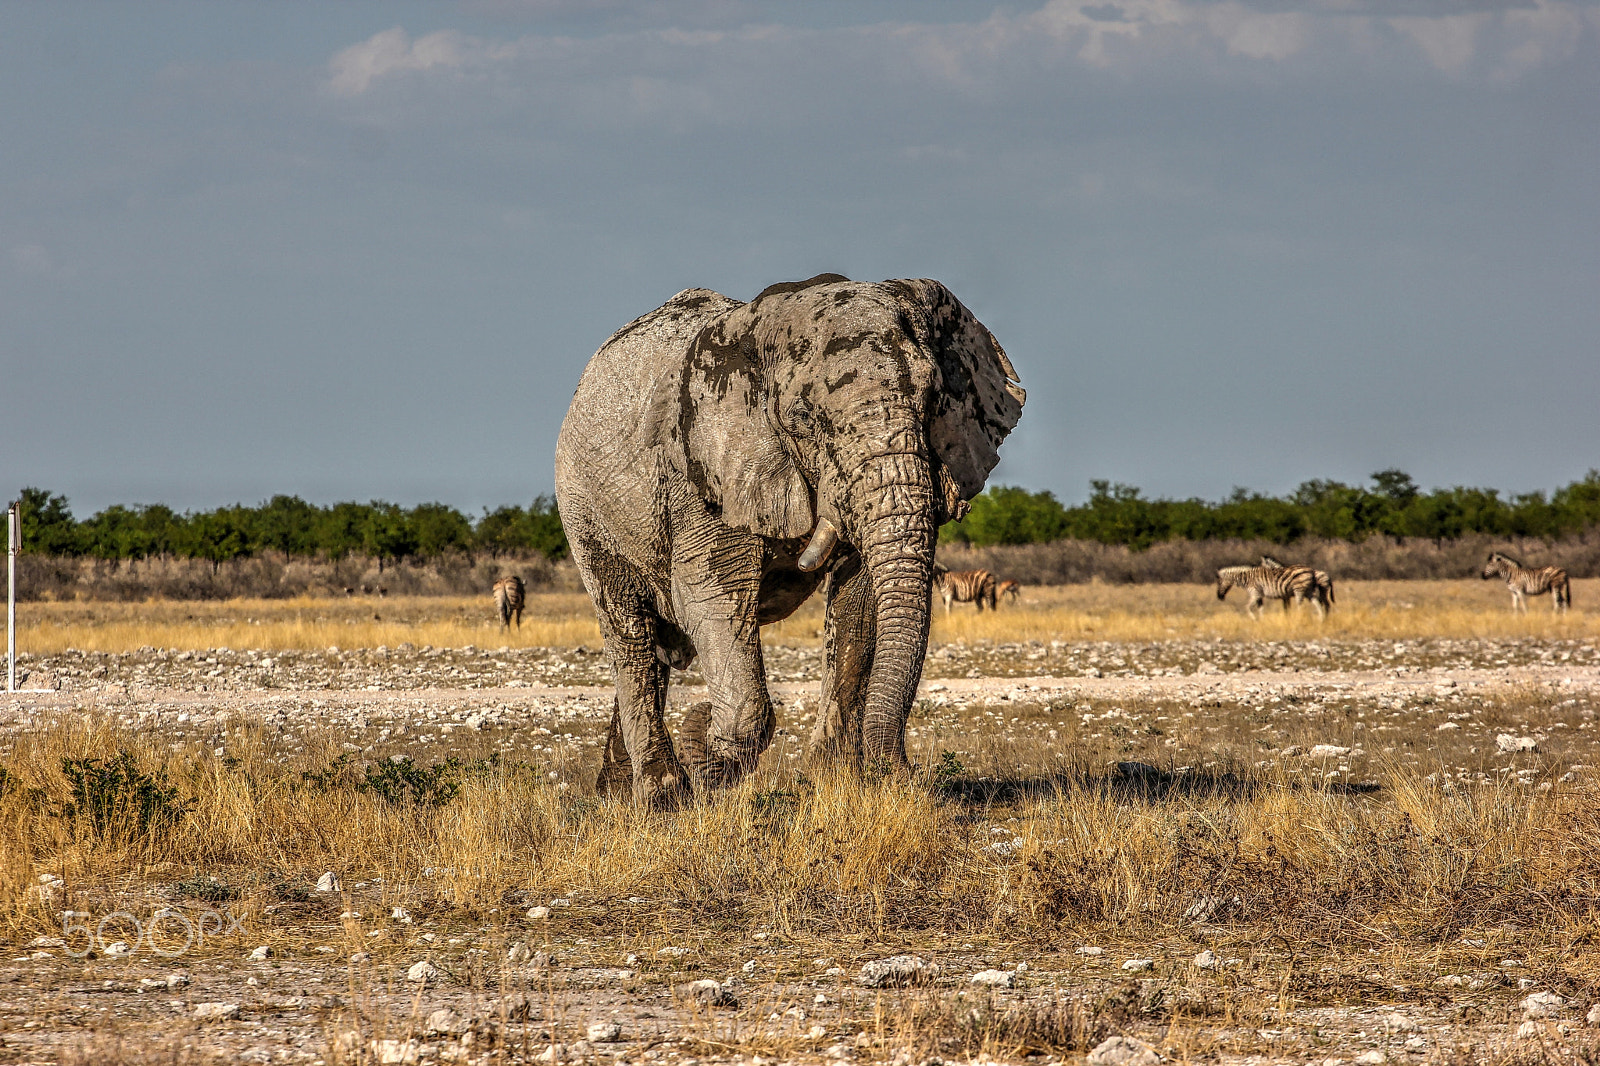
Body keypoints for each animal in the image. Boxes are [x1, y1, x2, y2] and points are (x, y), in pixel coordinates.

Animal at [550, 273, 1024, 806]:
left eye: (932, 398)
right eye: (804, 418)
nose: (906, 773)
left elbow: (859, 601)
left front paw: (836, 781)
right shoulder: (701, 474)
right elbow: (710, 599)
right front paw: (711, 771)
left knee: (651, 648)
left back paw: (613, 793)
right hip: (582, 507)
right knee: (629, 631)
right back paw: (660, 795)